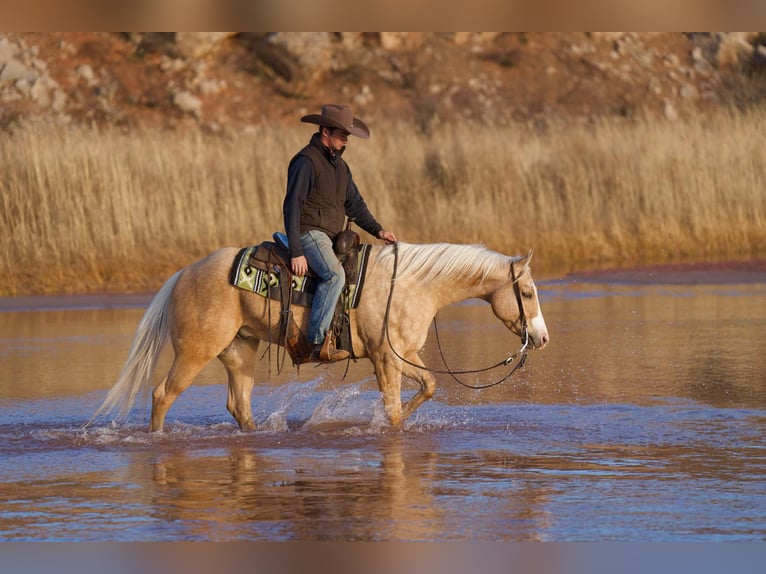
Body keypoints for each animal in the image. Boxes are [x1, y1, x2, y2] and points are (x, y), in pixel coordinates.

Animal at [88, 241, 544, 434]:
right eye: (526, 292)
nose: (540, 337)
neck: (410, 284)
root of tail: (184, 273)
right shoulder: (385, 357)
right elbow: (394, 409)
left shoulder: (405, 354)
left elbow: (429, 385)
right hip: (195, 352)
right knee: (162, 395)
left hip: (240, 350)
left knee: (239, 405)